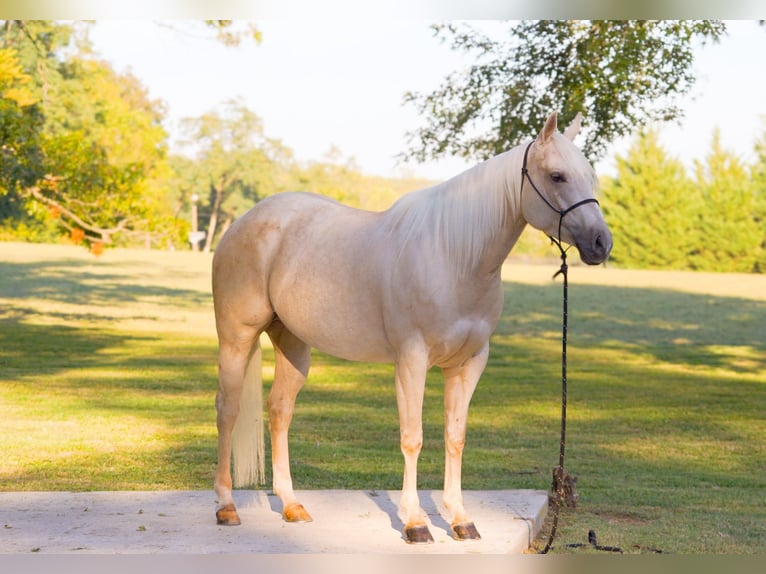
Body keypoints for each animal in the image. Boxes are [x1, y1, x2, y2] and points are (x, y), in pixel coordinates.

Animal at [211, 111, 612, 544]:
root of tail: (243, 222)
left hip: (293, 344)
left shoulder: (470, 362)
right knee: (227, 410)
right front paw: (415, 522)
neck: (454, 257)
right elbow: (412, 437)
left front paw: (461, 520)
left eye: (590, 175)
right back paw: (227, 506)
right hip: (236, 338)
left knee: (280, 410)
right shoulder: (412, 360)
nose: (601, 243)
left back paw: (292, 505)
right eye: (557, 176)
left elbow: (455, 437)